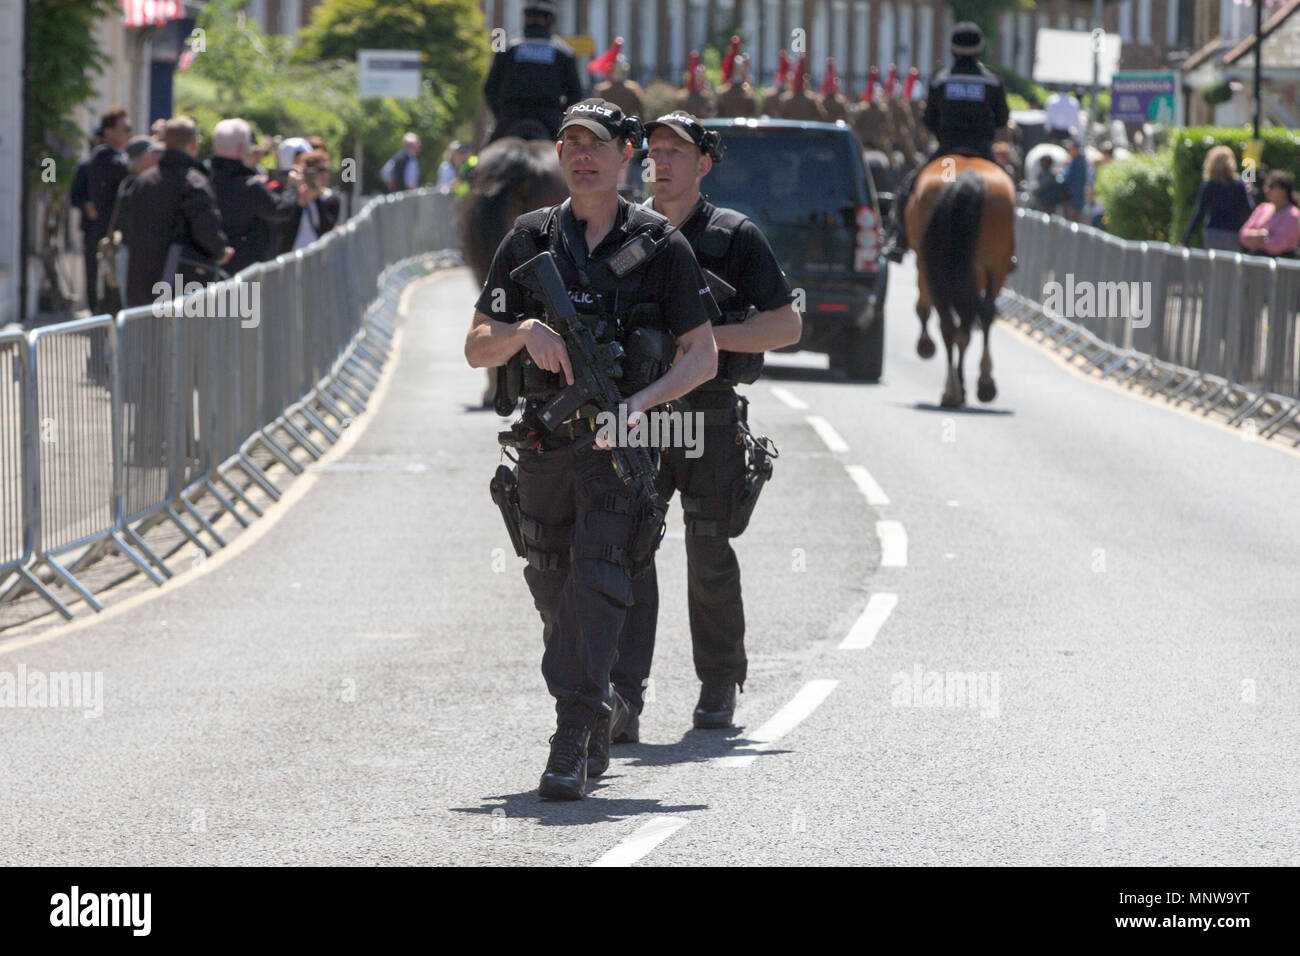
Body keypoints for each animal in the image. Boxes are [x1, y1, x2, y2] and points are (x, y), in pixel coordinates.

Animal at [904, 155, 1013, 408]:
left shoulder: (927, 267)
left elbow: (925, 309)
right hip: (994, 266)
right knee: (981, 315)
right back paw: (981, 384)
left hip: (935, 267)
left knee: (950, 323)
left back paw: (954, 389)